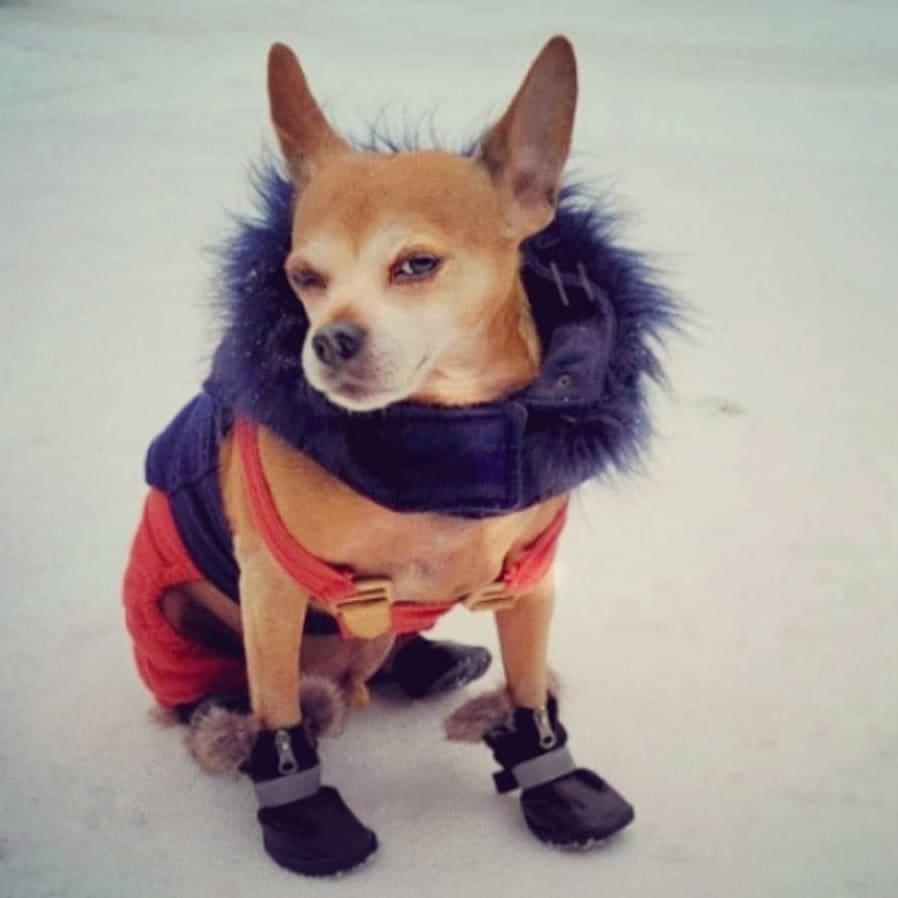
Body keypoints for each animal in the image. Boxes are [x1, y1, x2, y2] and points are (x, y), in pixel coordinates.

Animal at [124, 35, 676, 876]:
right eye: (303, 277)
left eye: (416, 265)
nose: (329, 340)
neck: (441, 450)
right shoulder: (271, 591)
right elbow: (279, 705)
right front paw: (302, 812)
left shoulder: (530, 584)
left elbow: (527, 686)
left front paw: (553, 779)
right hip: (176, 613)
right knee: (222, 692)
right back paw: (227, 717)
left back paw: (427, 660)